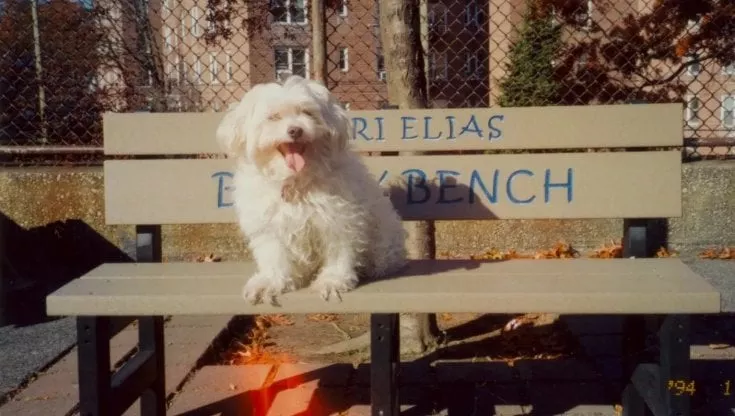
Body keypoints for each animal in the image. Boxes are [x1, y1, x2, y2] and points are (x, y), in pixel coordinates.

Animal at [216, 75, 408, 304]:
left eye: (307, 112)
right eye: (273, 117)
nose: (295, 130)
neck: (296, 181)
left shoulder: (339, 219)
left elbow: (339, 252)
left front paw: (332, 280)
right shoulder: (270, 226)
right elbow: (274, 256)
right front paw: (269, 282)